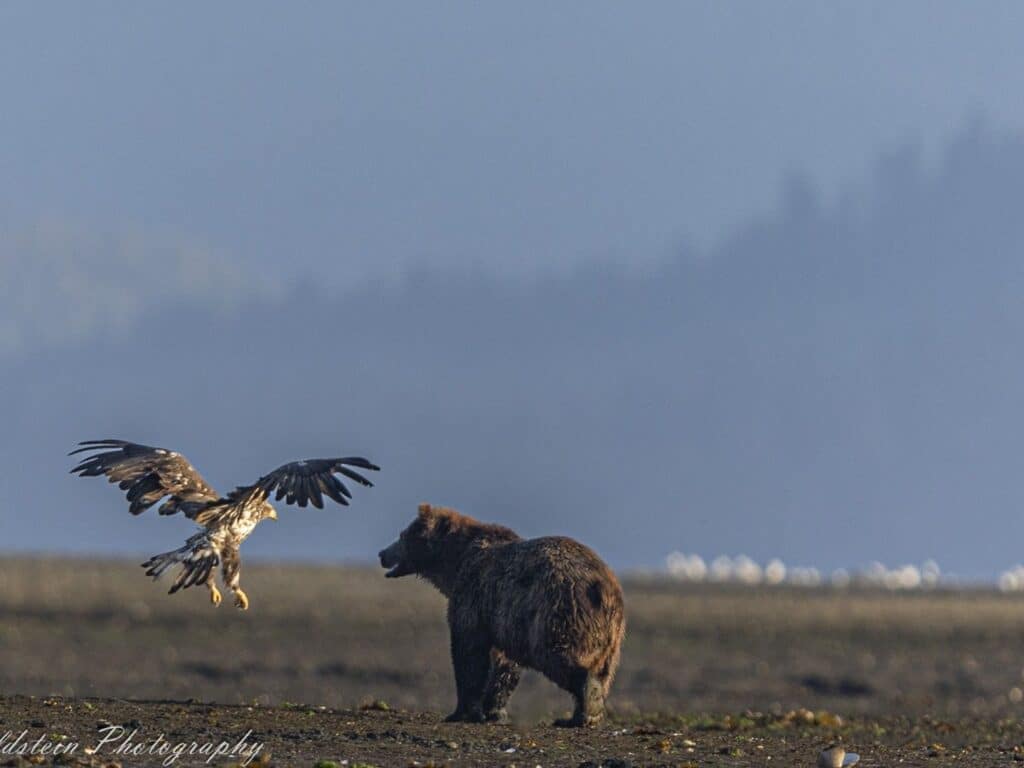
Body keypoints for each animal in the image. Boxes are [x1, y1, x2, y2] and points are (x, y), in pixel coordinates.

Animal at [378, 503, 626, 727]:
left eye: (402, 535)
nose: (382, 553)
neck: (454, 564)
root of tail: (602, 585)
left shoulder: (474, 596)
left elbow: (469, 652)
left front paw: (461, 712)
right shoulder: (505, 618)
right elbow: (503, 664)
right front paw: (494, 711)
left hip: (558, 611)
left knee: (557, 655)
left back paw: (586, 705)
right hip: (612, 634)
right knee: (604, 671)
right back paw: (581, 714)